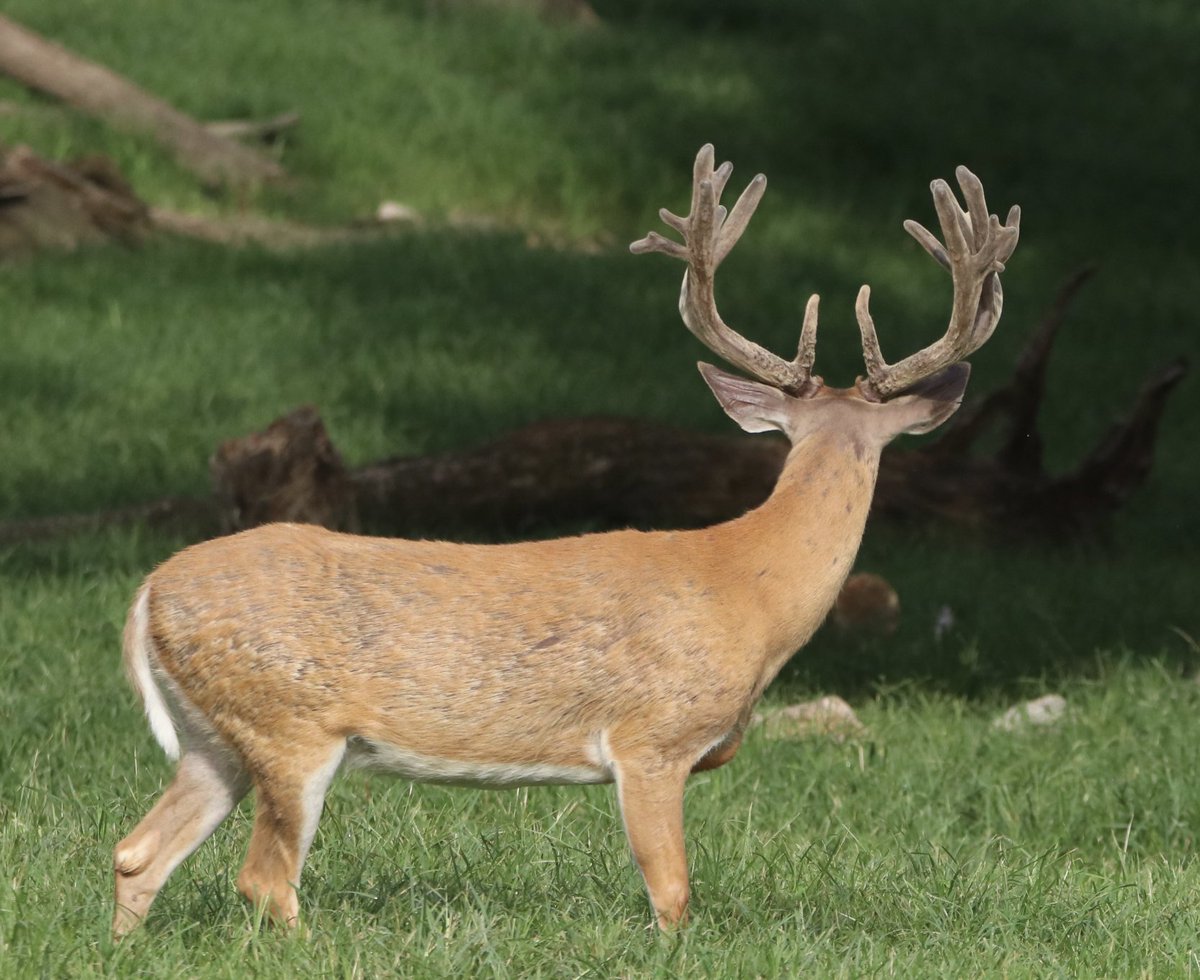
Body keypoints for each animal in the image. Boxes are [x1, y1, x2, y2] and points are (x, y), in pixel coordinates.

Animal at [110, 143, 1022, 930]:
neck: (749, 590)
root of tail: (150, 591)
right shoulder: (651, 739)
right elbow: (673, 893)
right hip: (290, 724)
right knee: (262, 879)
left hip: (218, 739)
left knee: (136, 854)